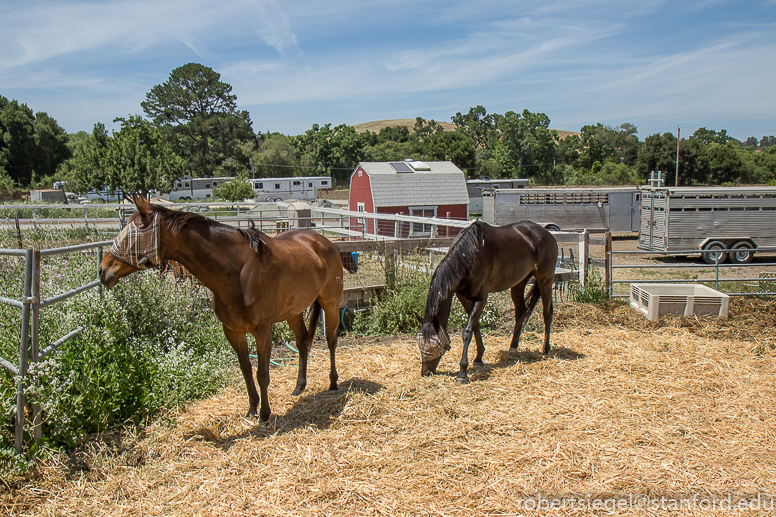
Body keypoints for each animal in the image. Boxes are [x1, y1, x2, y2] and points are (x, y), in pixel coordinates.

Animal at [98, 197, 344, 420]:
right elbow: (246, 370)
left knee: (331, 340)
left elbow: (262, 373)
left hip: (330, 304)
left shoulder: (263, 330)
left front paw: (265, 414)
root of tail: (324, 242)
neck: (237, 273)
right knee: (302, 341)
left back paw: (333, 382)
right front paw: (252, 409)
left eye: (132, 233)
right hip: (292, 311)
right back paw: (299, 387)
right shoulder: (232, 331)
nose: (103, 269)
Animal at [418, 220, 556, 380]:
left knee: (547, 313)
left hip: (545, 280)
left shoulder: (481, 298)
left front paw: (463, 372)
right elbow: (475, 326)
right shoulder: (463, 297)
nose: (425, 372)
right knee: (520, 313)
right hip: (518, 283)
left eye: (435, 345)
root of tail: (545, 231)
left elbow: (467, 332)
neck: (469, 255)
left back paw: (545, 349)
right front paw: (478, 358)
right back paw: (513, 348)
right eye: (420, 345)